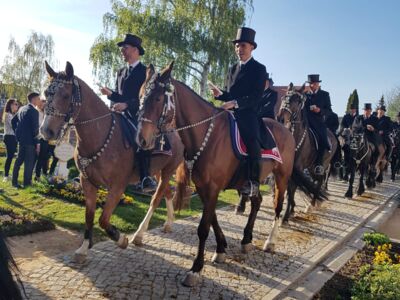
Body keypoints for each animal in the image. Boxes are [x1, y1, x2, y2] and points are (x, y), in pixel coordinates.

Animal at [40, 61, 184, 262]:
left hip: (168, 171)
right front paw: (83, 248)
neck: (100, 137)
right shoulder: (88, 183)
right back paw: (169, 223)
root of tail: (176, 132)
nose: (46, 131)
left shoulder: (116, 188)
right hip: (157, 172)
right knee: (168, 192)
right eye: (47, 93)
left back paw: (139, 235)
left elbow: (103, 219)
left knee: (156, 199)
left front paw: (120, 238)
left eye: (66, 95)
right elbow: (89, 216)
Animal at [138, 62, 304, 286]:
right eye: (140, 96)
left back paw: (270, 241)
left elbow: (203, 228)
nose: (142, 139)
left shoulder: (213, 187)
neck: (208, 134)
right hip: (253, 180)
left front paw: (196, 269)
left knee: (278, 205)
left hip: (282, 177)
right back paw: (246, 240)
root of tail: (285, 129)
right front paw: (221, 249)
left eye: (157, 98)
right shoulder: (204, 187)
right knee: (257, 201)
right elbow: (213, 219)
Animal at [278, 82, 338, 223]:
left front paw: (285, 216)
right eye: (283, 98)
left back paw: (313, 203)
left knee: (320, 180)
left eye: (297, 100)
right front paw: (292, 210)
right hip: (311, 167)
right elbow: (290, 190)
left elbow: (292, 190)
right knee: (317, 181)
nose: (280, 118)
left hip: (321, 165)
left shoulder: (298, 168)